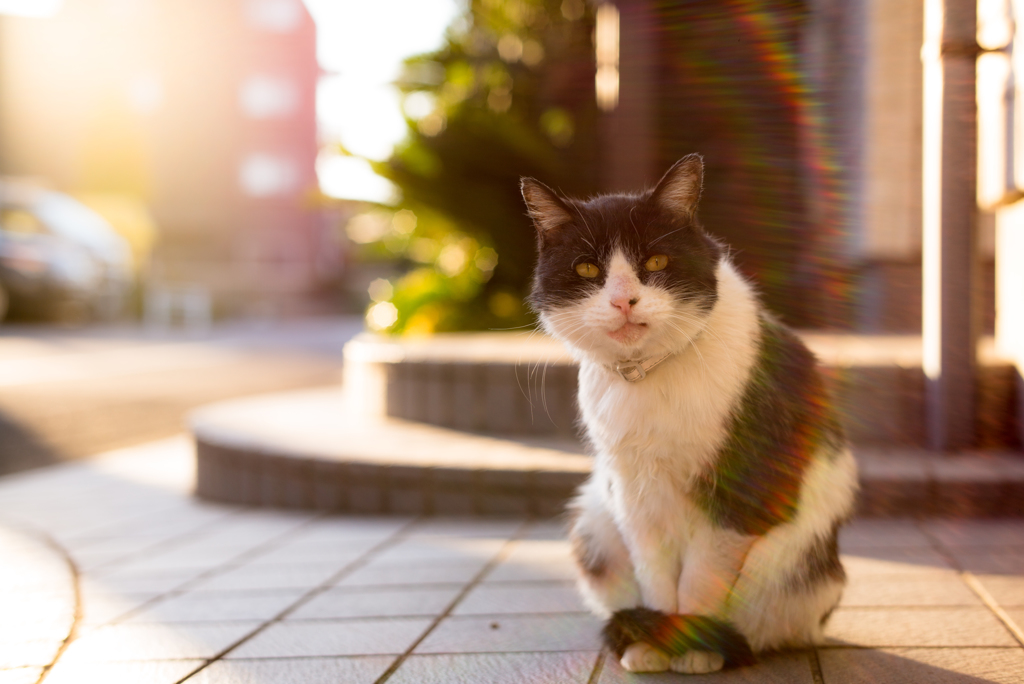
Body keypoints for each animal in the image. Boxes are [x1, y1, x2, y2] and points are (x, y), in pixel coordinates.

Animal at [520, 154, 856, 671]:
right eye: (587, 269)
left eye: (656, 262)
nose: (623, 300)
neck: (646, 376)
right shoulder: (634, 494)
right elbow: (657, 578)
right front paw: (654, 644)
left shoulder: (740, 494)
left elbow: (700, 579)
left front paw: (693, 648)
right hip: (595, 522)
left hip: (798, 570)